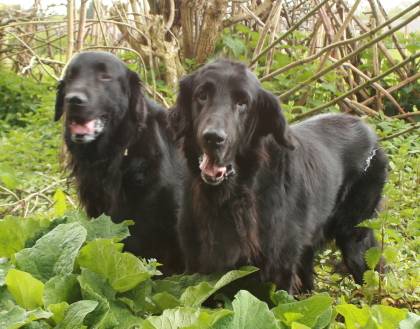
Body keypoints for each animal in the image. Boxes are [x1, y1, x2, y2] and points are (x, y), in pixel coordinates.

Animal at [170, 59, 388, 292]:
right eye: (201, 95)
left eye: (242, 103)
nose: (213, 137)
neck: (234, 195)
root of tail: (368, 129)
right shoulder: (199, 267)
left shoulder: (277, 270)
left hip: (356, 239)